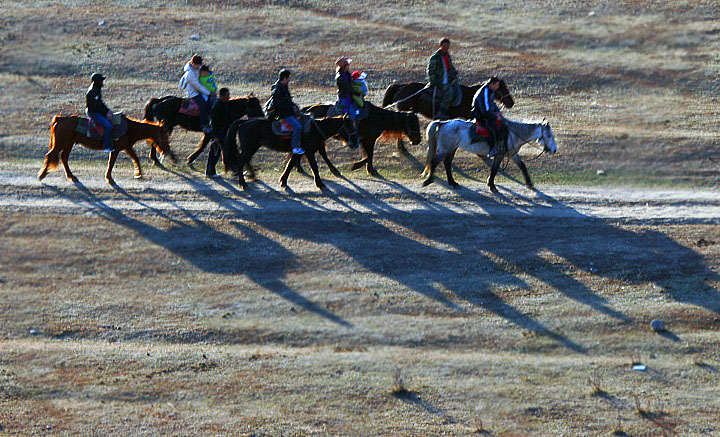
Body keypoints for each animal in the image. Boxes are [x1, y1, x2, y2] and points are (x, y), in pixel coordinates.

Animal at [38, 114, 177, 184]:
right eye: (163, 136)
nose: (166, 151)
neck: (130, 128)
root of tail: (60, 118)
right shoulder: (116, 149)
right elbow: (111, 163)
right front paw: (109, 178)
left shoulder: (127, 147)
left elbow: (135, 158)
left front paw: (139, 174)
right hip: (61, 143)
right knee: (50, 155)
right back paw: (42, 175)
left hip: (69, 143)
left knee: (64, 158)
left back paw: (72, 177)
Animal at [225, 115, 358, 190]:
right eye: (349, 126)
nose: (355, 143)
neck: (315, 129)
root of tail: (244, 122)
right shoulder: (309, 152)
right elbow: (314, 166)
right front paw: (320, 183)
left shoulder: (305, 151)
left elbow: (291, 164)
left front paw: (283, 181)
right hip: (249, 147)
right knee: (241, 161)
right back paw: (243, 183)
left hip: (253, 147)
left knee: (246, 160)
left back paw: (252, 176)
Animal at [422, 116, 556, 192]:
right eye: (549, 135)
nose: (554, 150)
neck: (512, 134)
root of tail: (443, 123)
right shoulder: (500, 154)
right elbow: (494, 169)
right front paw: (492, 186)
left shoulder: (512, 154)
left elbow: (522, 166)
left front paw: (529, 183)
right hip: (446, 149)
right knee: (435, 161)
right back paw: (429, 180)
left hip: (452, 149)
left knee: (447, 163)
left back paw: (453, 183)